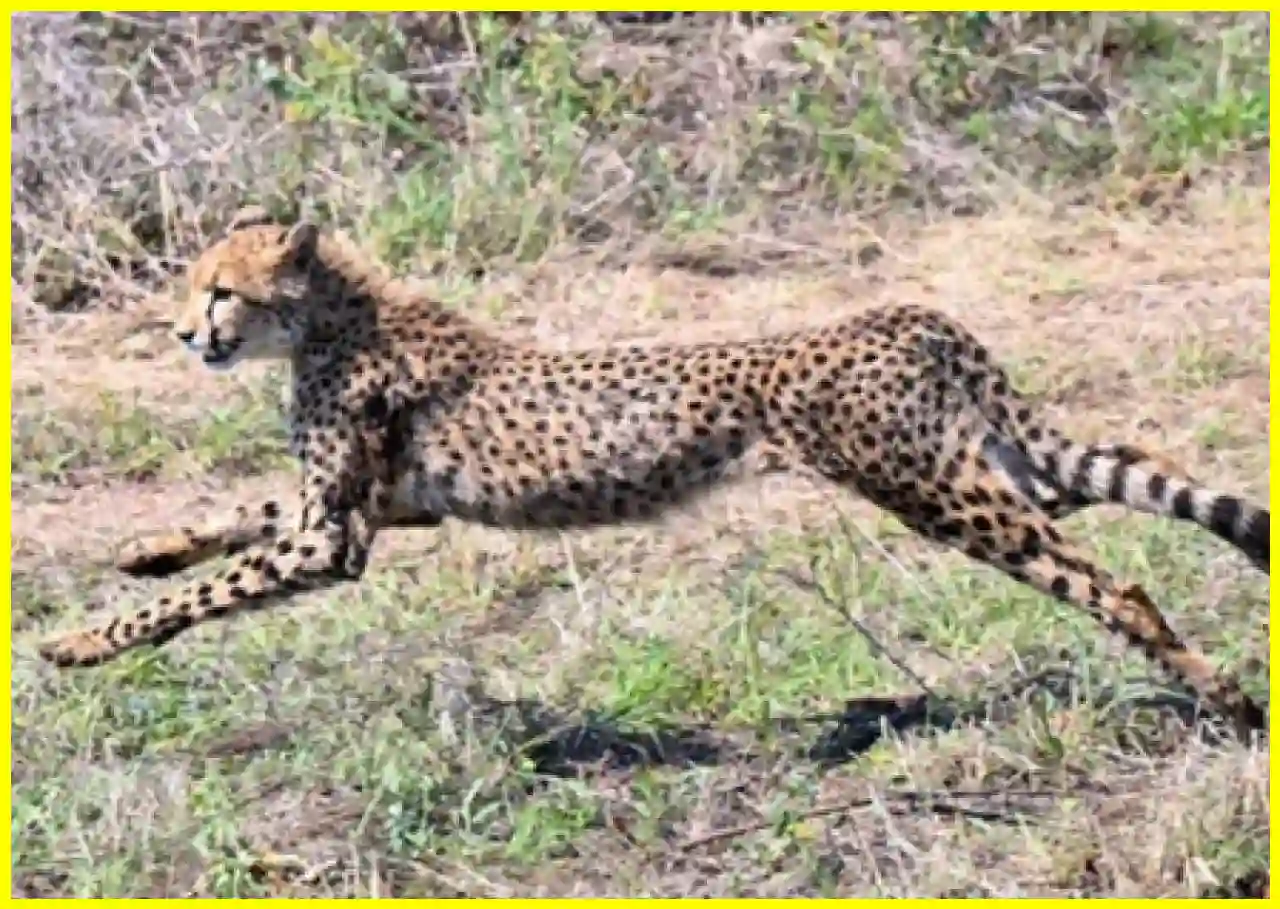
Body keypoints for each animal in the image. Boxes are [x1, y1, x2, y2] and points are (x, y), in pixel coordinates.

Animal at [38, 207, 1269, 739]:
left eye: (220, 291)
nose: (181, 335)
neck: (331, 317)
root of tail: (903, 313)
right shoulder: (382, 509)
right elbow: (235, 517)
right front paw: (143, 548)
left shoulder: (335, 536)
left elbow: (206, 592)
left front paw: (82, 642)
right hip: (999, 466)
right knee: (1134, 477)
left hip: (939, 492)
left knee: (1115, 584)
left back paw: (1222, 697)